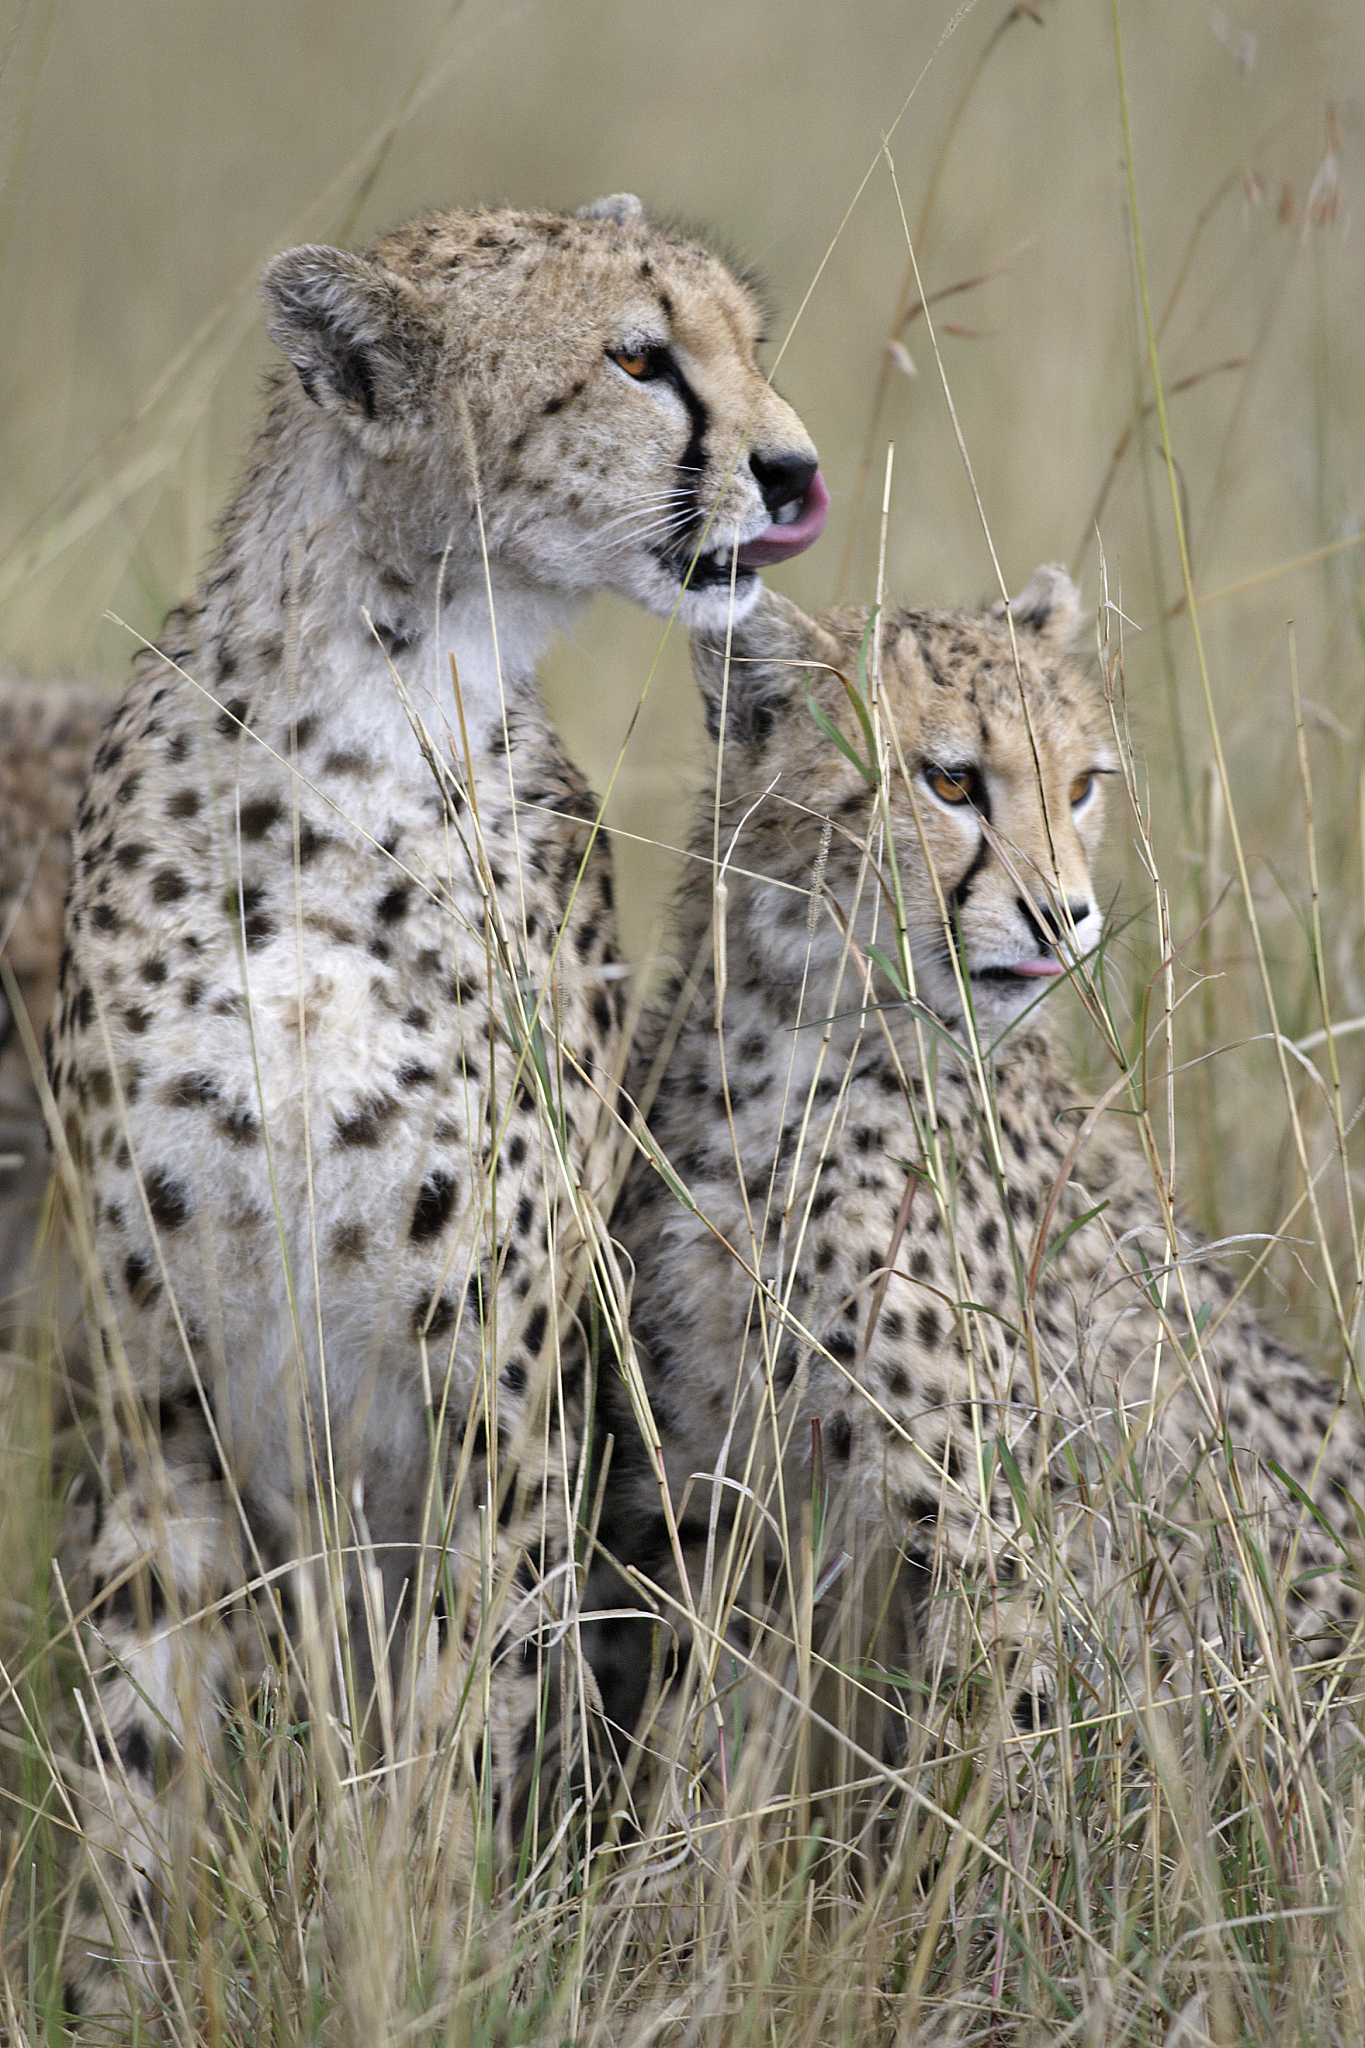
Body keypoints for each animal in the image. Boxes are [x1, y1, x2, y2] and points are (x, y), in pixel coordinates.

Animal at [48, 191, 826, 2029]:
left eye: (746, 341)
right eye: (639, 359)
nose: (794, 469)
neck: (362, 721)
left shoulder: (502, 1420)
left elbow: (456, 1740)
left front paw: (426, 1964)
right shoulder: (159, 1410)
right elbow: (131, 1761)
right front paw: (108, 1994)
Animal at [595, 571, 1365, 1794]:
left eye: (1082, 786)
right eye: (951, 780)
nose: (1065, 914)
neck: (795, 1039)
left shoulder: (981, 1526)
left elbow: (987, 1754)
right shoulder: (720, 1489)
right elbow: (702, 1738)